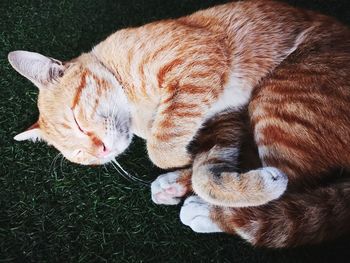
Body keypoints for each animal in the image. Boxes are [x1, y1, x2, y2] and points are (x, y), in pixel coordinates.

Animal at [7, 0, 350, 249]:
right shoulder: (226, 116)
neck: (141, 113)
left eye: (77, 121)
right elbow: (208, 164)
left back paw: (209, 212)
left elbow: (161, 150)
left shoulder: (198, 64)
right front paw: (192, 169)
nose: (101, 150)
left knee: (291, 184)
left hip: (279, 102)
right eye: (80, 155)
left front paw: (184, 160)